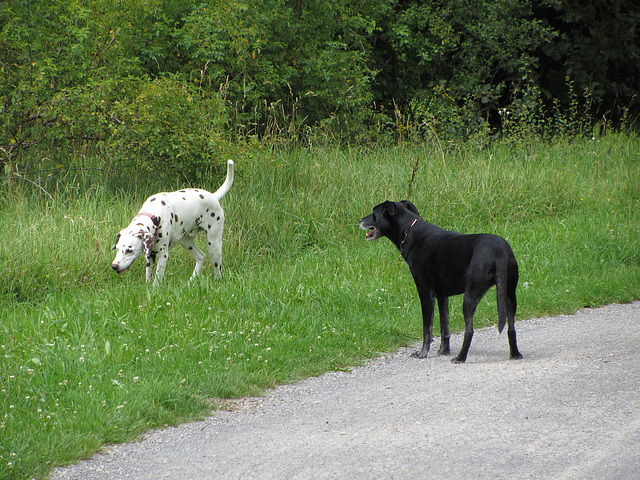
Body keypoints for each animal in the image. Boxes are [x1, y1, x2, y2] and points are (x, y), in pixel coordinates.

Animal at [358, 200, 524, 364]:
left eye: (374, 213)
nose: (359, 220)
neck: (409, 231)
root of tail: (500, 253)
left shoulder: (426, 293)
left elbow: (427, 329)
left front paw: (422, 353)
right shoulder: (443, 296)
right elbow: (445, 326)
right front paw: (444, 350)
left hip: (471, 294)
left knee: (469, 330)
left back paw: (460, 358)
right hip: (510, 294)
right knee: (511, 327)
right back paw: (515, 354)